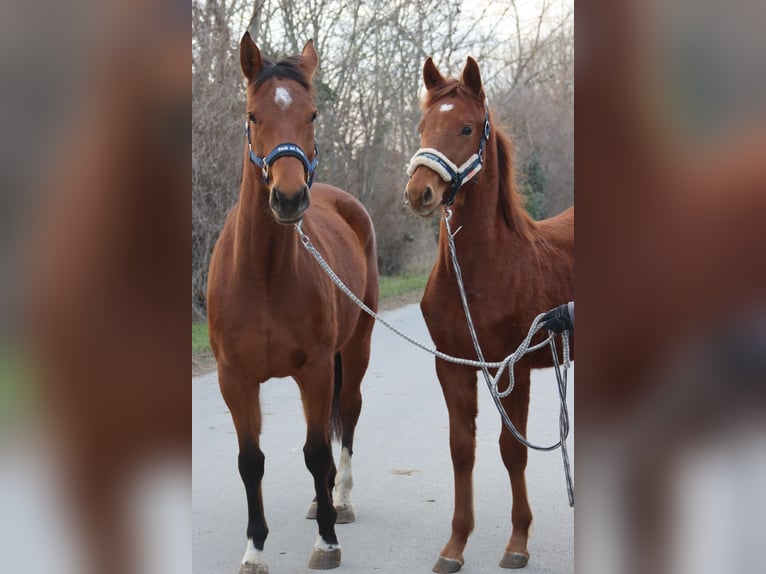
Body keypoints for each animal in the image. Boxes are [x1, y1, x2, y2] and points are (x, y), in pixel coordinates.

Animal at [208, 33, 380, 572]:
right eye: (252, 115)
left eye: (312, 114)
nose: (288, 198)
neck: (263, 274)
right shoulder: (234, 379)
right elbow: (251, 462)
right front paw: (254, 549)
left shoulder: (317, 369)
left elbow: (316, 451)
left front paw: (326, 541)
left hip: (356, 349)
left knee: (348, 416)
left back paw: (338, 502)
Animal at [408, 57, 576, 572]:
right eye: (422, 126)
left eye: (466, 127)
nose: (419, 192)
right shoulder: (452, 365)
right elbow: (462, 449)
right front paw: (455, 545)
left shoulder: (511, 367)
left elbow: (511, 450)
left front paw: (518, 541)